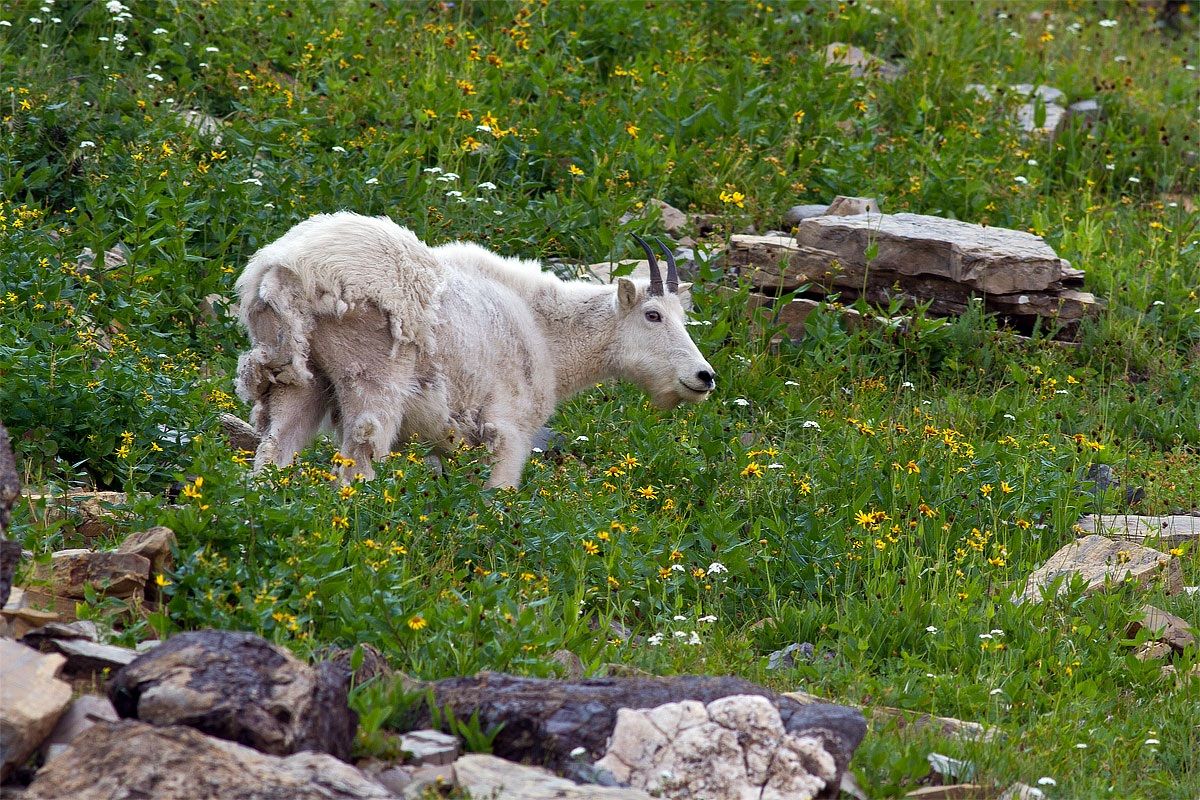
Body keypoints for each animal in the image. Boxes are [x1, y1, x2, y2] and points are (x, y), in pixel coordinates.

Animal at [235, 212, 715, 488]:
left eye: (683, 317)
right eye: (652, 315)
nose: (704, 377)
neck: (547, 333)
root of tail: (287, 270)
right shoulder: (509, 428)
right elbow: (497, 494)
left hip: (296, 373)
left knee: (274, 448)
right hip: (372, 374)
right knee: (358, 460)